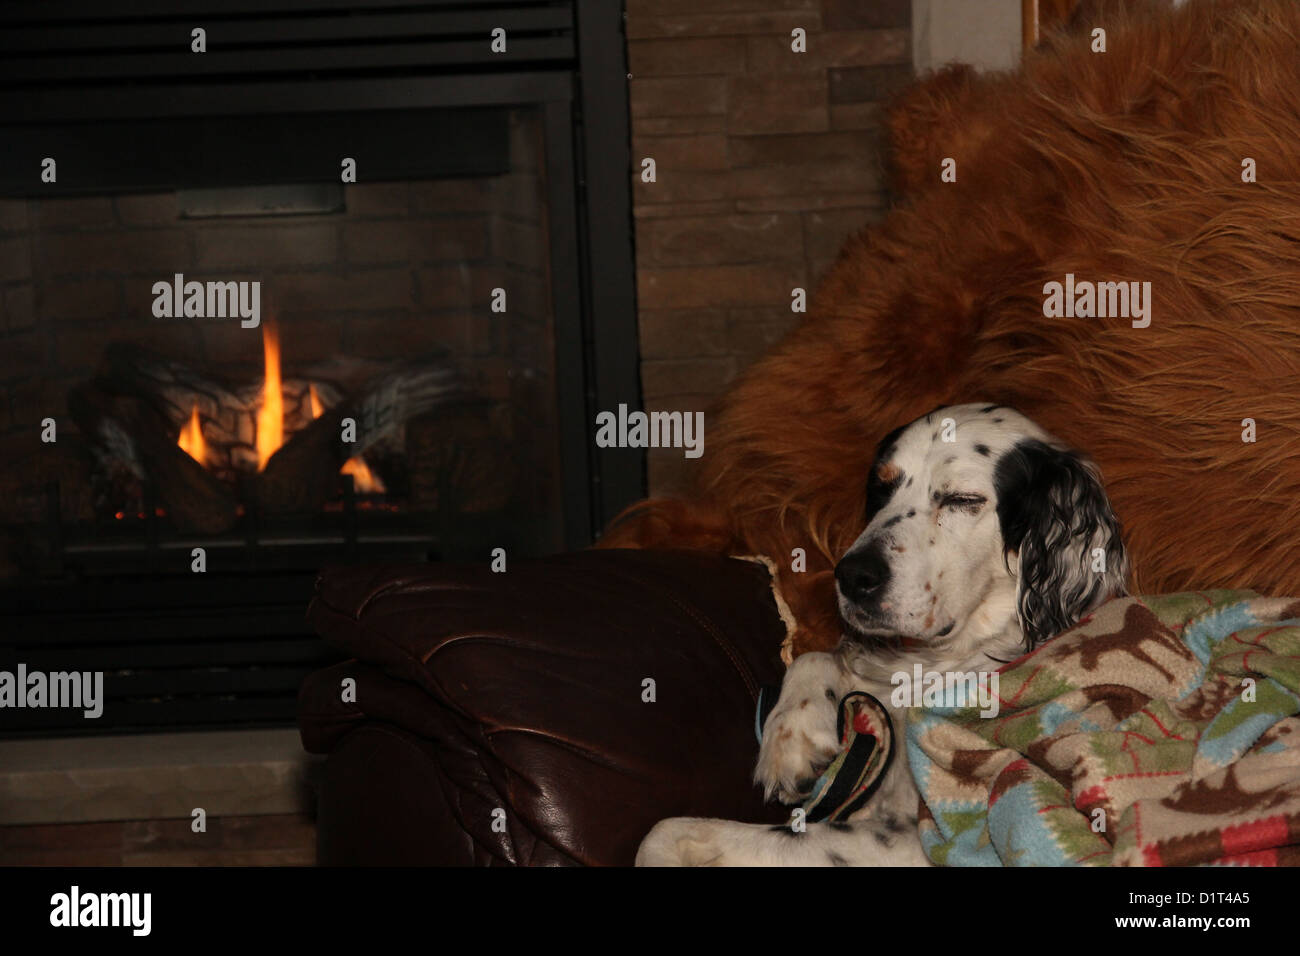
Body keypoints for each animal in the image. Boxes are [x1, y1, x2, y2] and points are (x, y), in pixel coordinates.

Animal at [639, 403, 1128, 868]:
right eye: (881, 489)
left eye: (962, 499)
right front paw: (793, 738)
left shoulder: (925, 841)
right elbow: (816, 656)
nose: (852, 576)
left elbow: (667, 831)